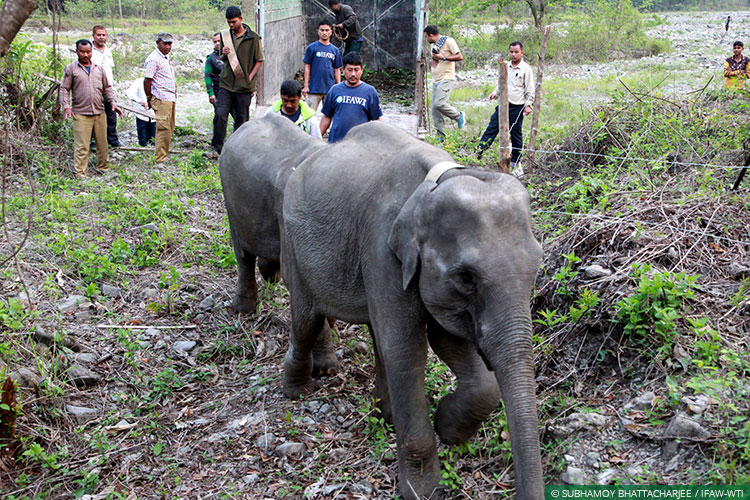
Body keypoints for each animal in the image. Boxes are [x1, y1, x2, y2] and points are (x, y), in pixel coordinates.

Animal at [277, 121, 545, 499]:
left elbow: (445, 340)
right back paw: (297, 390)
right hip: (293, 242)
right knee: (306, 319)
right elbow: (407, 350)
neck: (436, 182)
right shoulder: (381, 250)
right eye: (465, 277)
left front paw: (447, 425)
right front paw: (423, 490)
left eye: (537, 265)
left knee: (375, 333)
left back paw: (385, 413)